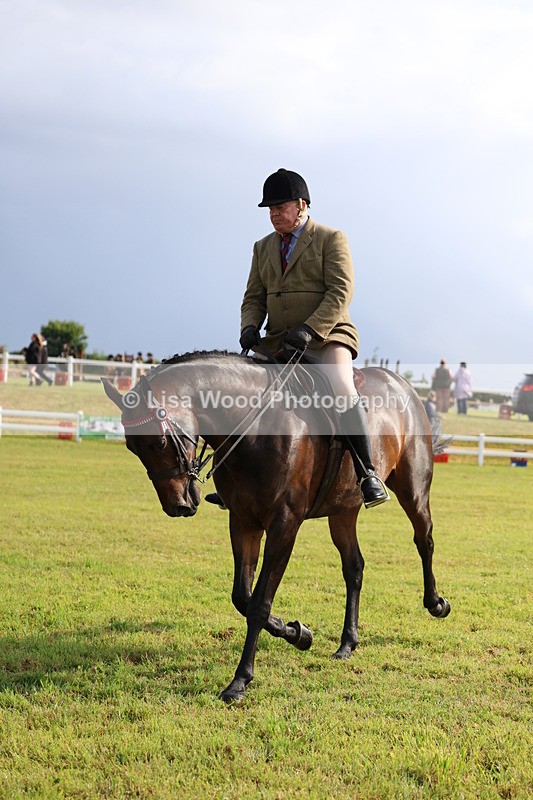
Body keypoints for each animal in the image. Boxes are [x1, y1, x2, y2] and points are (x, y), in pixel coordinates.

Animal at [102, 350, 450, 703]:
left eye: (159, 442)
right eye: (132, 447)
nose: (178, 505)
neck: (256, 428)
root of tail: (403, 386)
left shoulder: (284, 524)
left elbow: (259, 603)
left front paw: (240, 681)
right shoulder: (243, 521)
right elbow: (242, 597)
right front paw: (298, 633)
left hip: (413, 490)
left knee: (424, 540)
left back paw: (436, 603)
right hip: (343, 511)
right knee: (354, 567)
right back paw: (347, 643)